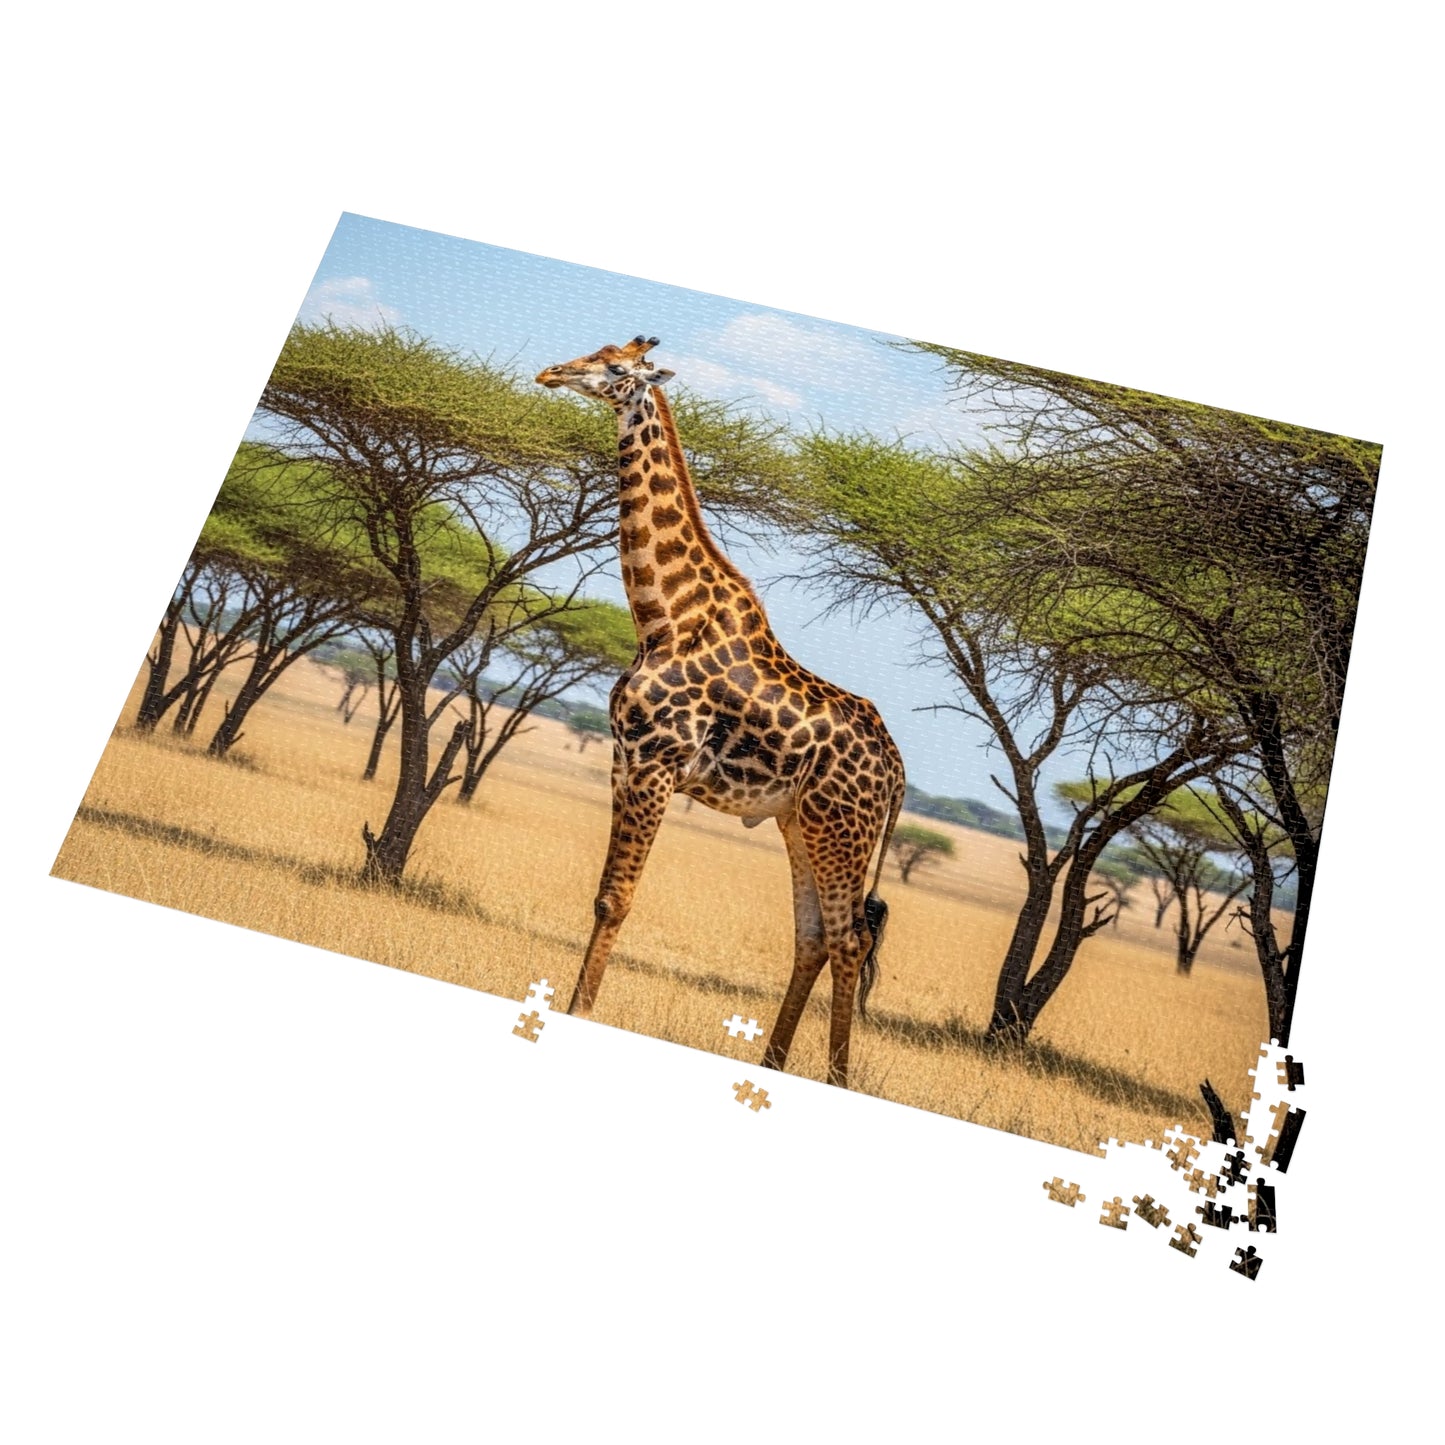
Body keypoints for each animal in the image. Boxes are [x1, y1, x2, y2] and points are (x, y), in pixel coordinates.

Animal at [535, 336, 906, 1088]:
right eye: (595, 349)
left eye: (615, 368)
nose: (550, 372)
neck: (662, 617)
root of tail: (896, 769)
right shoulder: (623, 757)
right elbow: (605, 893)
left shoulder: (656, 762)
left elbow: (616, 897)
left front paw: (580, 1010)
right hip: (800, 823)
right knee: (814, 936)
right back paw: (770, 1059)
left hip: (842, 832)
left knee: (850, 938)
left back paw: (836, 1076)